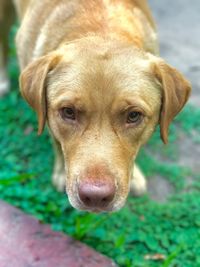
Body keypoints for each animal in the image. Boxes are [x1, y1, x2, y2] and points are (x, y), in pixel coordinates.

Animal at [0, 0, 191, 214]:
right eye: (68, 112)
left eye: (134, 115)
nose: (96, 196)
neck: (101, 29)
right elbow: (56, 141)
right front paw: (60, 172)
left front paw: (134, 177)